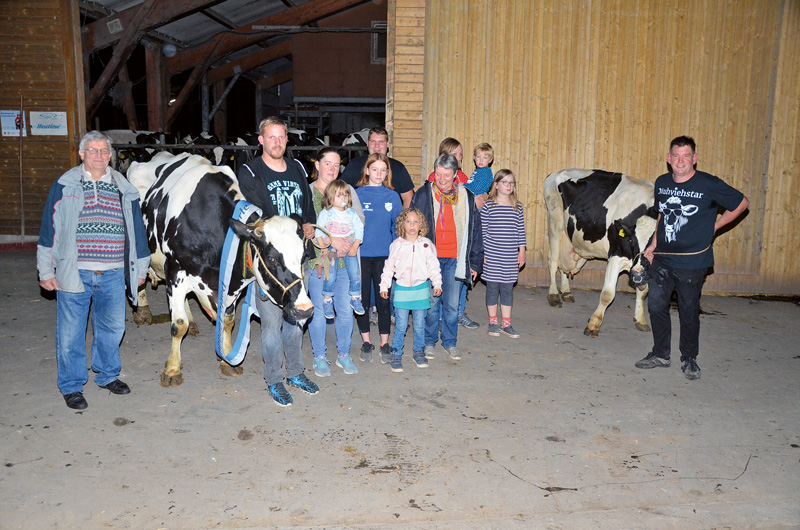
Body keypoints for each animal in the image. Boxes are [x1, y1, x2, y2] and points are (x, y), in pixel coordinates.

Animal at [127, 152, 313, 386]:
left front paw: (226, 359)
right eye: (271, 258)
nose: (305, 309)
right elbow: (178, 324)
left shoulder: (228, 284)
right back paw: (143, 312)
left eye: (303, 256)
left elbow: (227, 321)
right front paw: (172, 370)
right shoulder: (175, 272)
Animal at [544, 169, 658, 337]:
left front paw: (641, 320)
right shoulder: (616, 256)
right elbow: (607, 294)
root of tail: (555, 173)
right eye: (631, 240)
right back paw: (553, 295)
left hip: (570, 235)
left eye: (654, 244)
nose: (637, 272)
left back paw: (566, 292)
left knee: (564, 266)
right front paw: (593, 324)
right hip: (555, 224)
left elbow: (643, 292)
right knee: (552, 262)